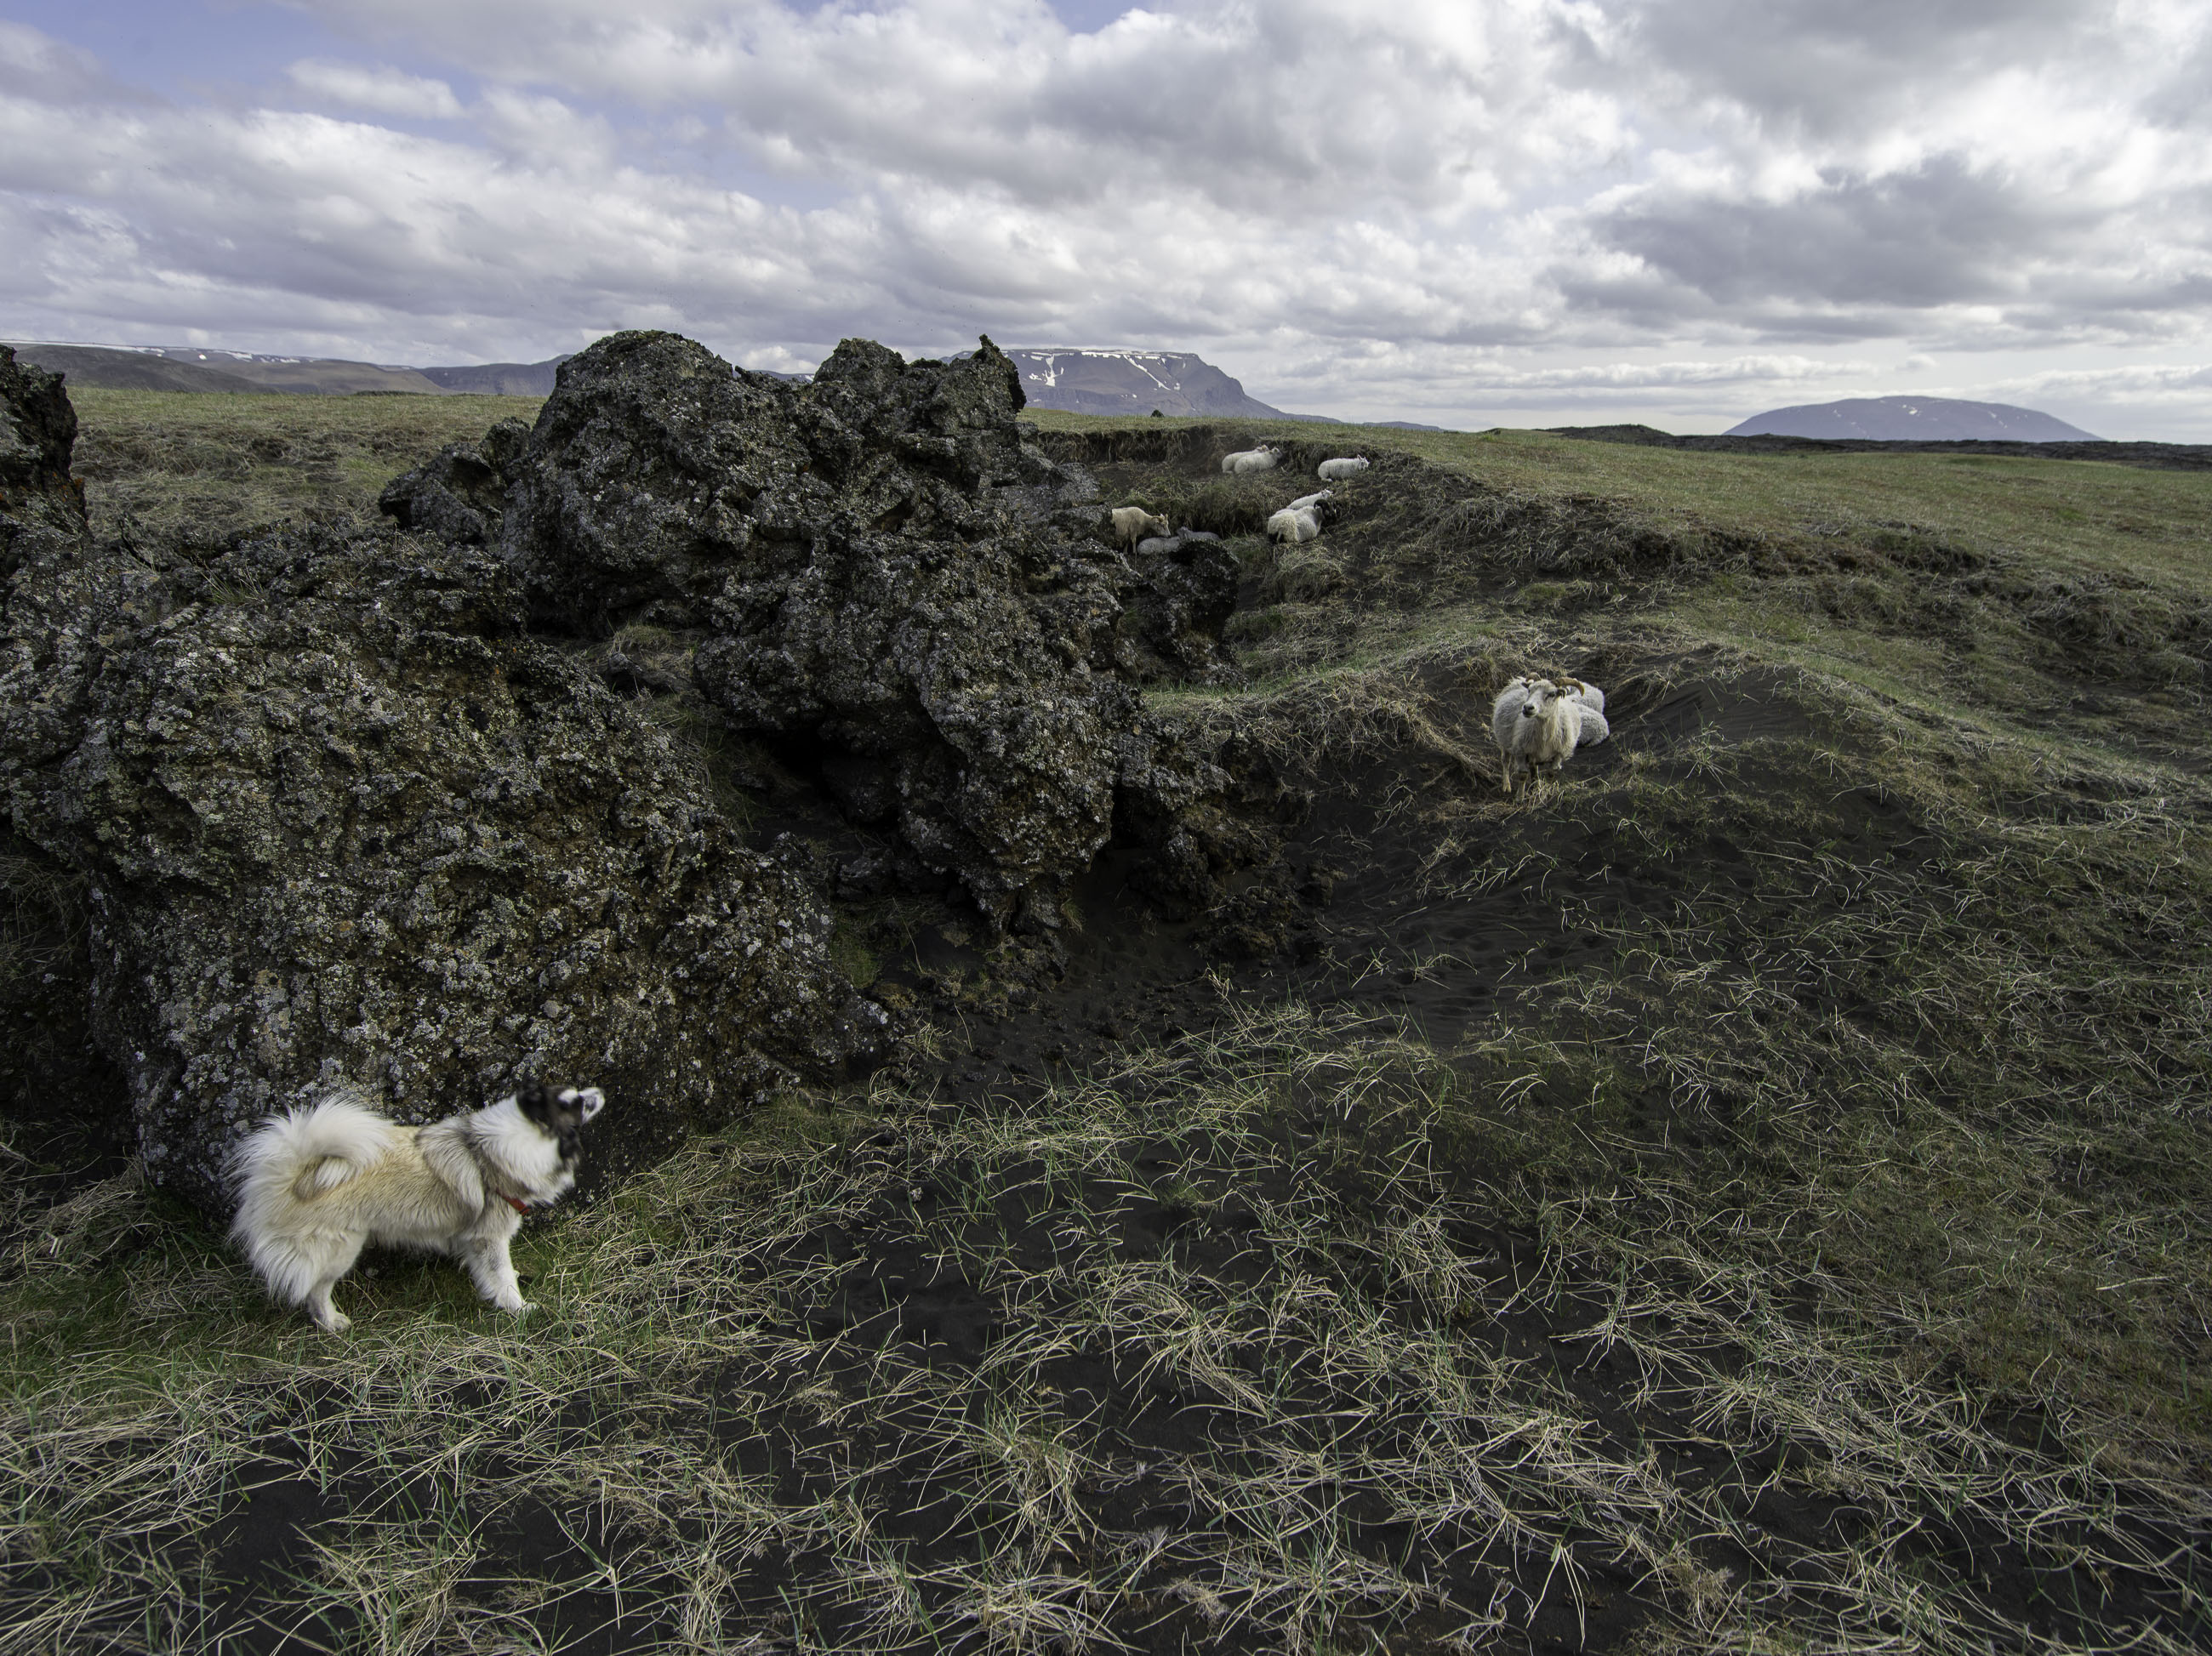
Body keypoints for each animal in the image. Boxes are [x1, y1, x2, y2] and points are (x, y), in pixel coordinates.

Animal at [229, 1081, 606, 1332]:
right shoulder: (490, 1236)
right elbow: (501, 1275)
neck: (491, 1151)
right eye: (576, 1104)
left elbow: (491, 1275)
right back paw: (331, 1322)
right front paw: (519, 1308)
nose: (600, 1091)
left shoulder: (474, 1239)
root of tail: (292, 1173)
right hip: (341, 1248)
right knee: (316, 1290)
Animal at [1490, 677, 1581, 795]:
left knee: (1534, 767)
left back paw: (1536, 786)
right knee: (1506, 761)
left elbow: (1551, 773)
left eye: (1552, 694)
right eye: (1529, 690)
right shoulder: (1520, 752)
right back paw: (1507, 785)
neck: (1545, 737)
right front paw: (1520, 796)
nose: (1528, 707)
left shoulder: (1559, 754)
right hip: (1504, 741)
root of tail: (1516, 681)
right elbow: (1523, 775)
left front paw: (1549, 793)